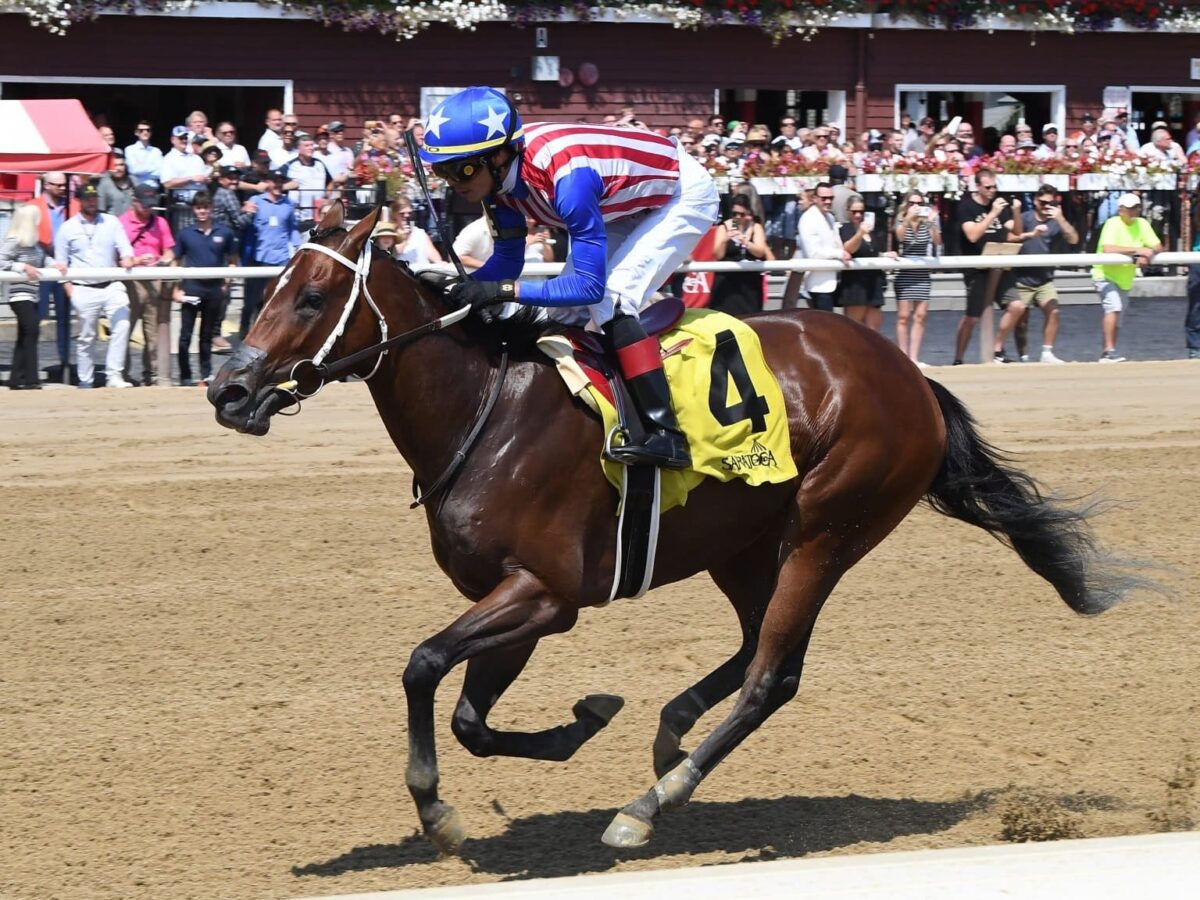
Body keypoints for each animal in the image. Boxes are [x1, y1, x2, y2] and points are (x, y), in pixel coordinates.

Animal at [211, 206, 1137, 859]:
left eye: (312, 298)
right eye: (270, 290)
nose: (227, 390)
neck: (487, 412)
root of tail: (910, 376)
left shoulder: (546, 594)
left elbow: (423, 664)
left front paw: (439, 810)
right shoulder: (516, 598)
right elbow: (472, 716)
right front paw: (584, 720)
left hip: (828, 529)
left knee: (772, 675)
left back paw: (652, 802)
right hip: (743, 543)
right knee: (760, 647)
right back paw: (670, 727)